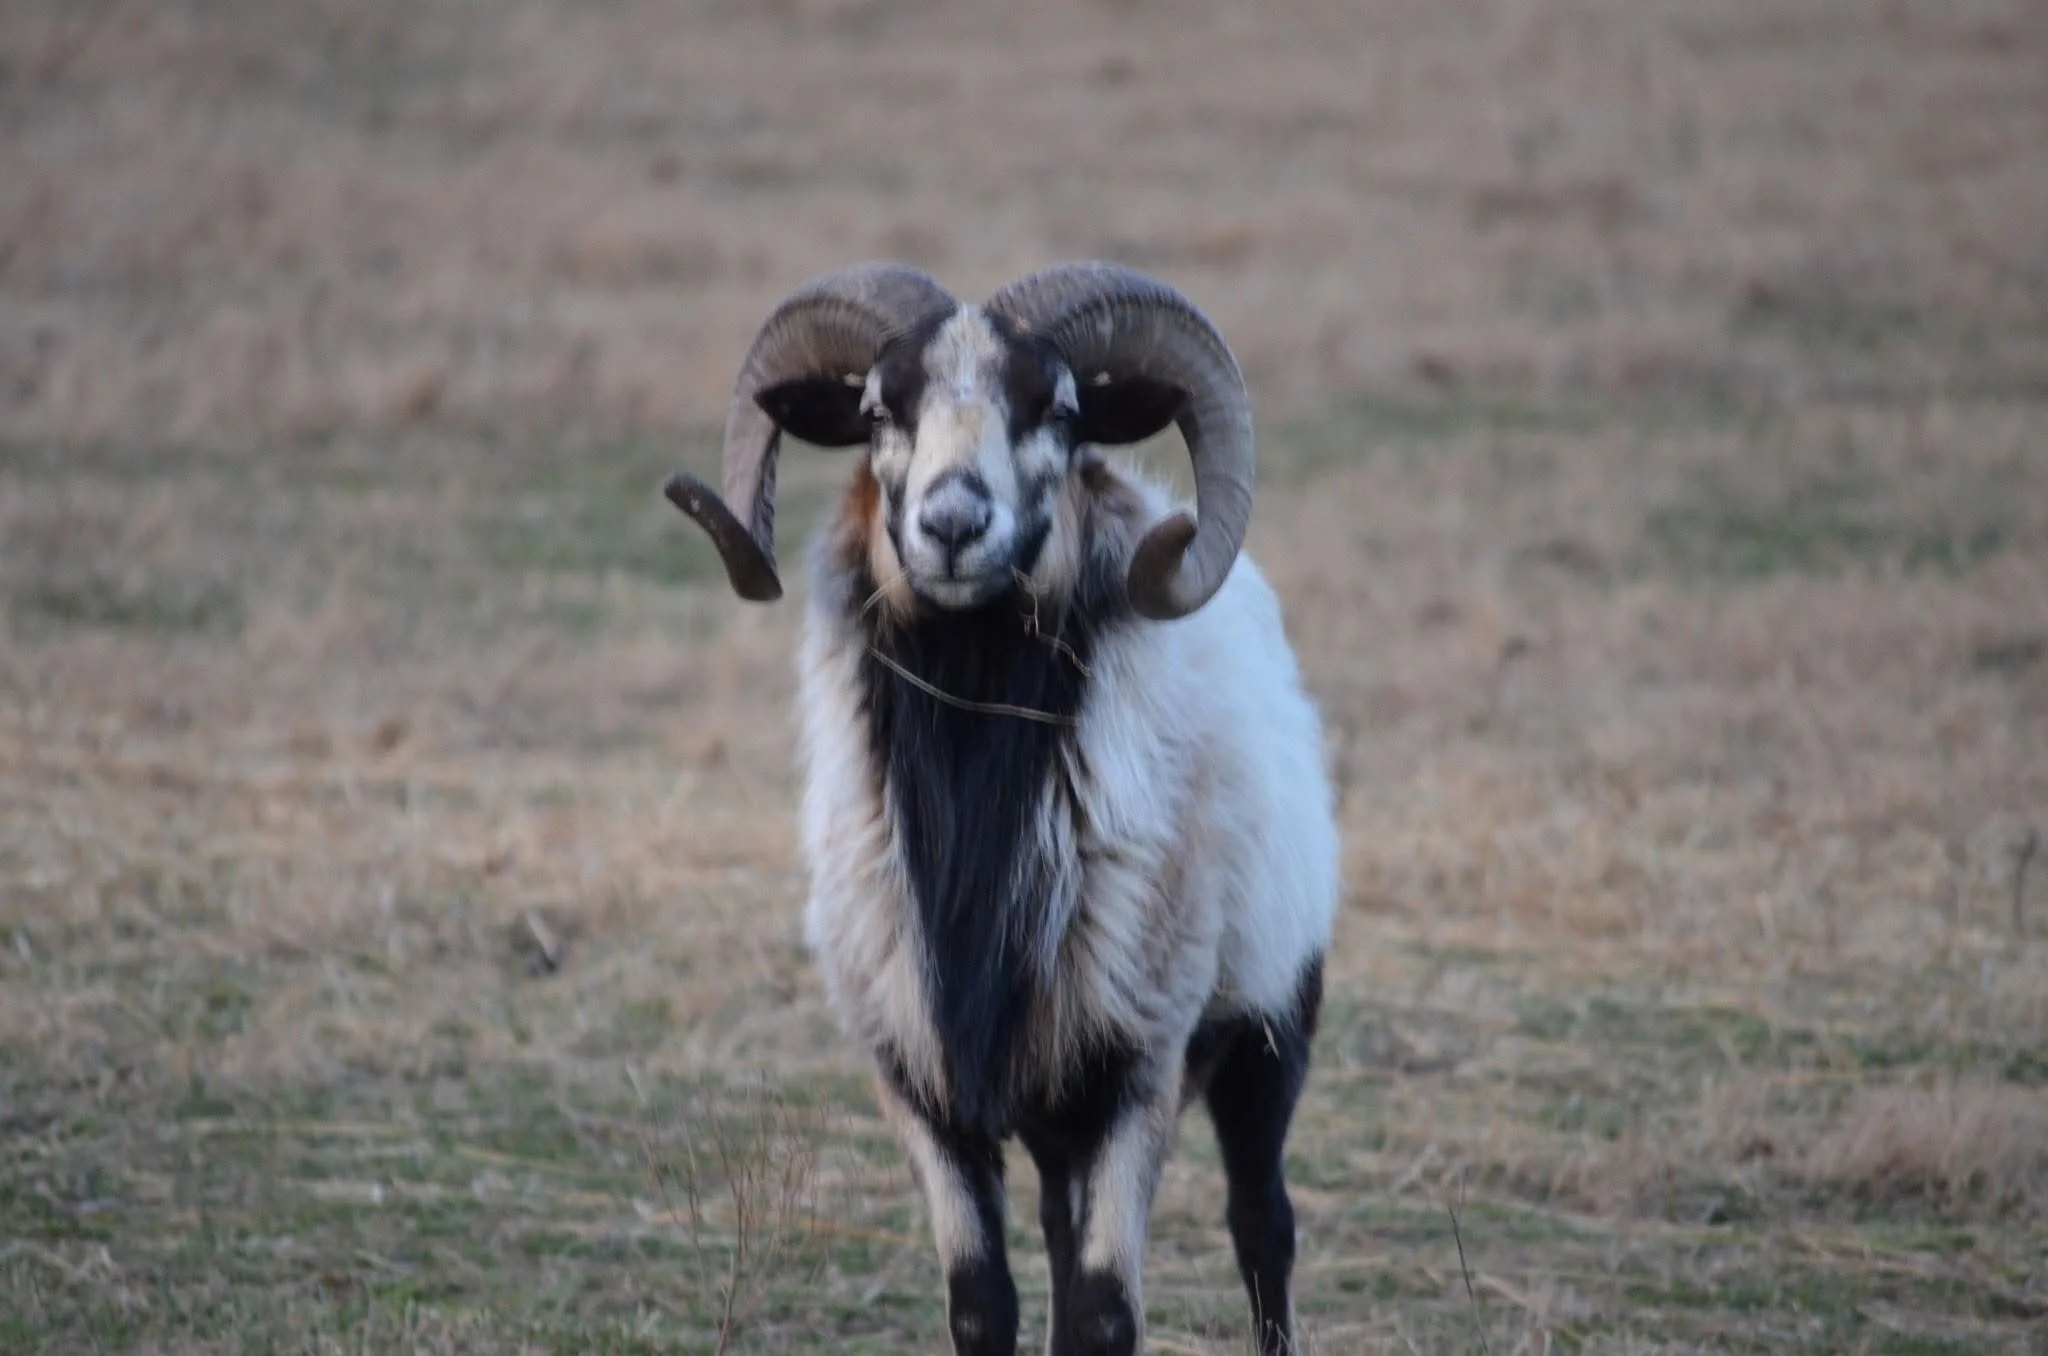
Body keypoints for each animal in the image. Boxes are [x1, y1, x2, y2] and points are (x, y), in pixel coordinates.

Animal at [664, 261, 1339, 1356]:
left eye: (1058, 408)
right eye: (876, 408)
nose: (950, 526)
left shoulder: (1138, 1065)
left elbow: (1103, 1312)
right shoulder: (916, 1078)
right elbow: (984, 1302)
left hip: (1271, 1024)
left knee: (1261, 1227)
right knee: (1063, 1233)